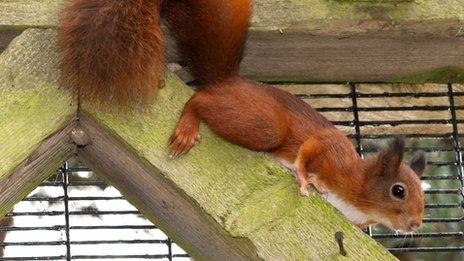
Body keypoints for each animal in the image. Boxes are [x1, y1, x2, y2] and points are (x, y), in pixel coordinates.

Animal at [59, 0, 426, 232]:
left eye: (423, 193)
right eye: (398, 191)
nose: (417, 224)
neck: (359, 195)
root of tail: (229, 82)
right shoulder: (335, 153)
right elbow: (313, 146)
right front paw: (305, 177)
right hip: (262, 124)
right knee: (200, 98)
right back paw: (189, 122)